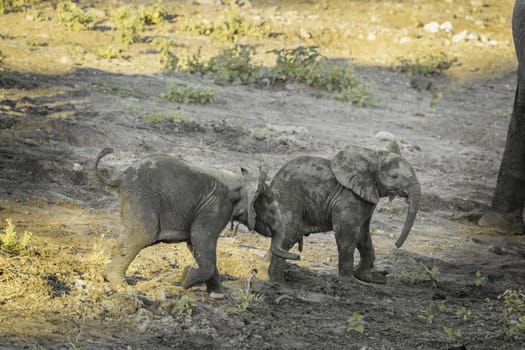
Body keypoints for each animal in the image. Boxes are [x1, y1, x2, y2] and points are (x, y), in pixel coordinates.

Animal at [95, 148, 298, 296]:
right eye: (271, 211)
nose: (297, 256)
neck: (242, 182)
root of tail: (121, 176)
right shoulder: (216, 206)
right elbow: (202, 238)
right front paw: (185, 279)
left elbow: (197, 245)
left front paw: (219, 293)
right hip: (142, 198)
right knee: (143, 235)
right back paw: (120, 284)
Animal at [264, 142, 420, 284]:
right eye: (394, 176)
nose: (396, 245)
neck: (373, 156)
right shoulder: (348, 197)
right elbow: (347, 233)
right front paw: (349, 281)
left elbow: (363, 234)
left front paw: (371, 278)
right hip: (288, 199)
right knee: (289, 235)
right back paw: (277, 282)